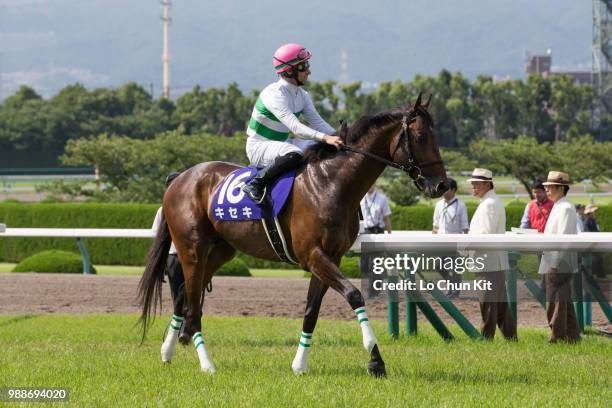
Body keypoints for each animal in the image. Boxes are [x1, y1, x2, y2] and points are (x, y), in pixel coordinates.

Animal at [139, 92, 448, 376]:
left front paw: (300, 364)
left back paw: (167, 352)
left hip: (220, 251)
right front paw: (375, 361)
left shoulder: (330, 257)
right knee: (192, 302)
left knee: (183, 295)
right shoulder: (313, 255)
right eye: (421, 136)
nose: (442, 185)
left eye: (436, 136)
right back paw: (207, 364)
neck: (330, 184)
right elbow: (354, 295)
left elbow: (311, 311)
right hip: (192, 249)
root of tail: (178, 179)